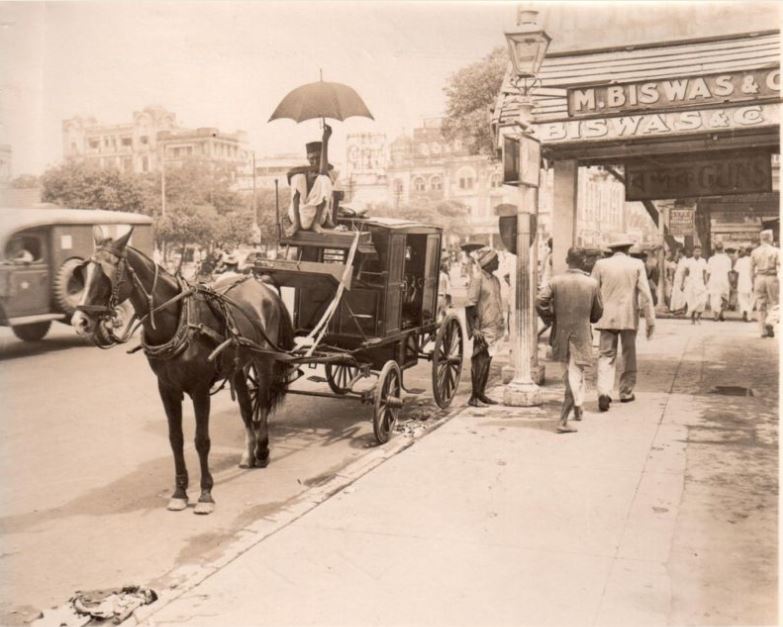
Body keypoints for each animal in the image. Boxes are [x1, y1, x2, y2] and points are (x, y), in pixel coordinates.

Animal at [72, 228, 294, 516]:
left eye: (106, 276)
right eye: (84, 274)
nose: (80, 322)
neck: (180, 321)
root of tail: (263, 287)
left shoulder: (200, 390)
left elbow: (201, 440)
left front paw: (205, 494)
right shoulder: (167, 389)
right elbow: (176, 439)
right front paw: (179, 492)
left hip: (264, 361)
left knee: (264, 403)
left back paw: (263, 450)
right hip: (238, 365)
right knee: (247, 407)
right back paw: (248, 453)